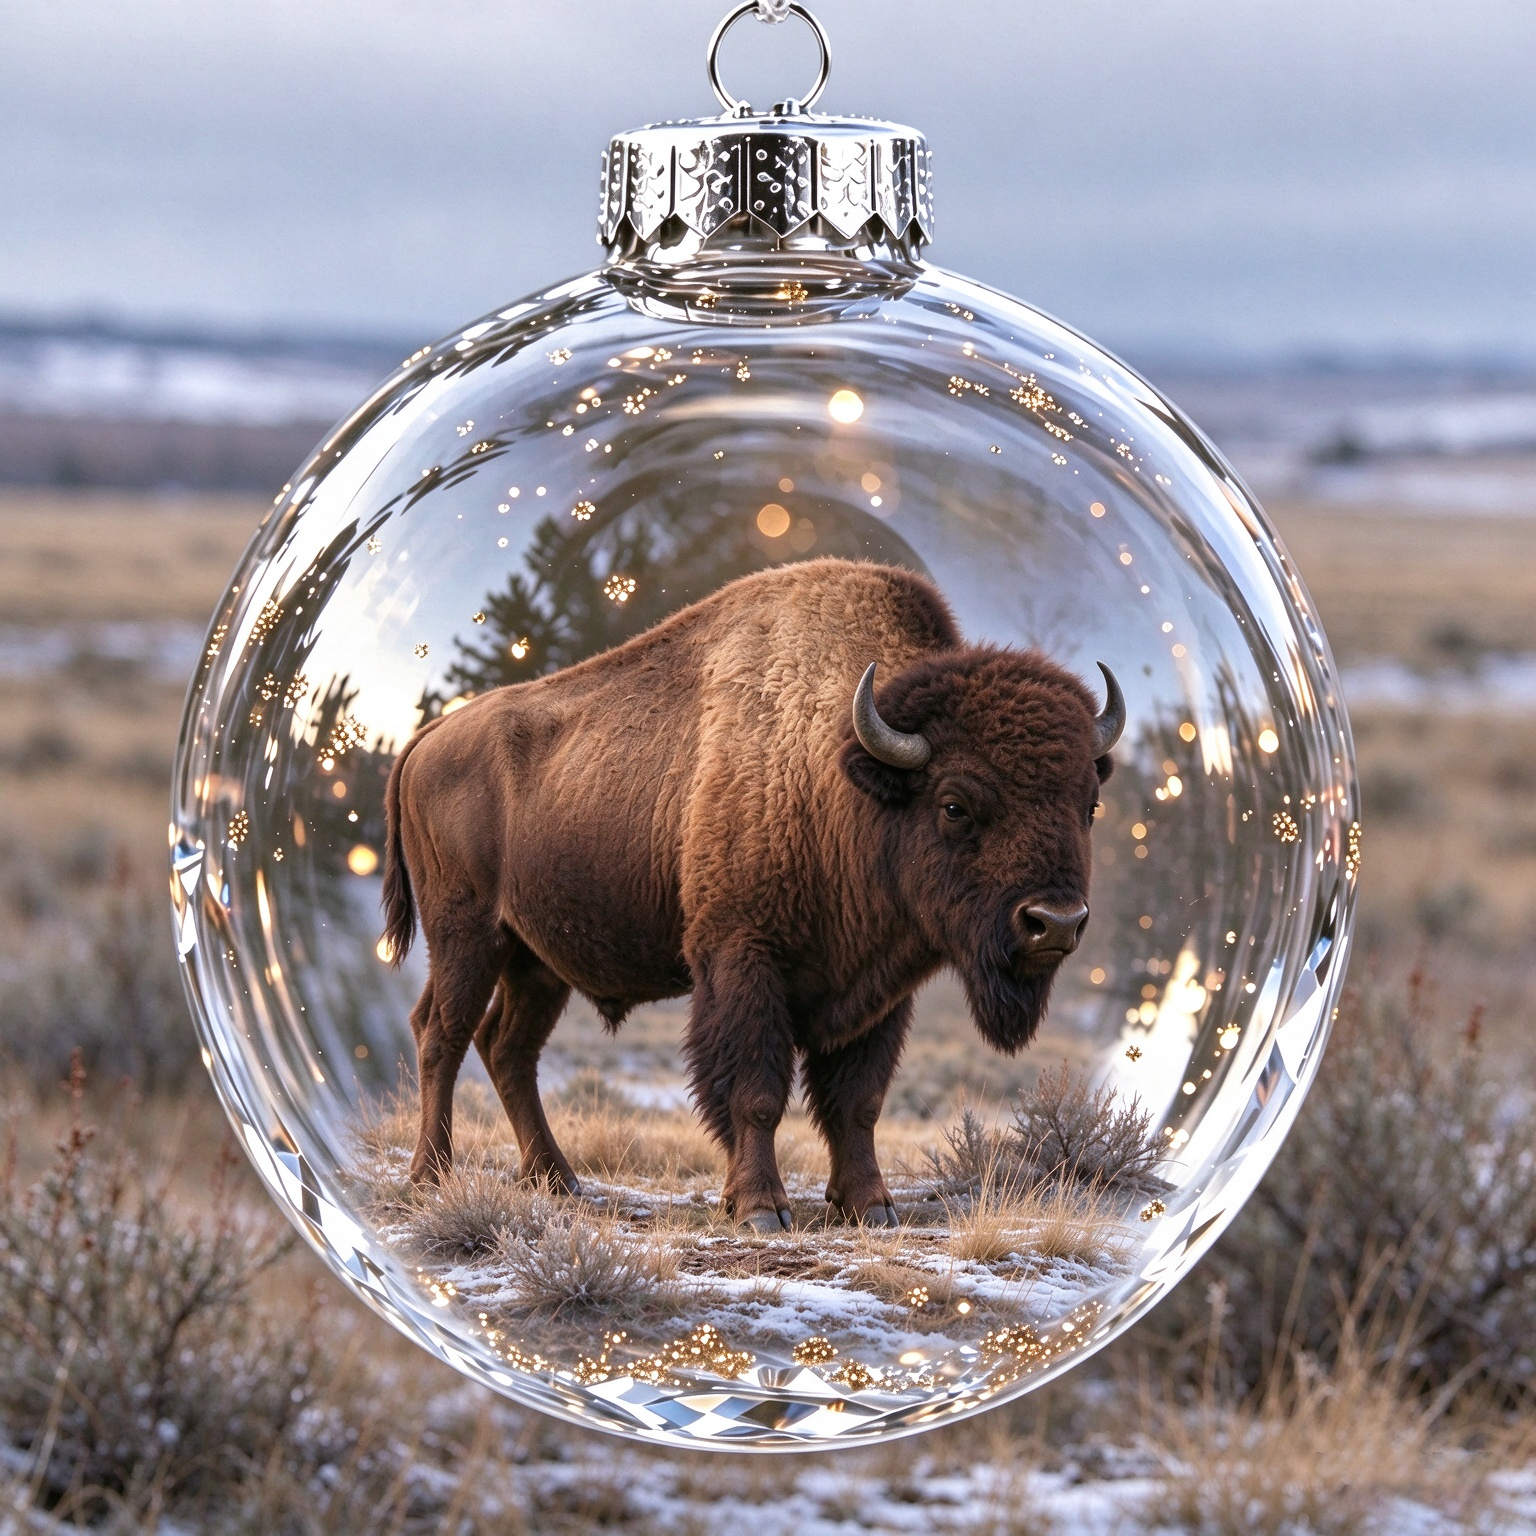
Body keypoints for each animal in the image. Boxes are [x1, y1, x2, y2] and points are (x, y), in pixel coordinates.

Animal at [382, 557, 1123, 1231]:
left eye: (1089, 804)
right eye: (954, 805)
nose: (1055, 922)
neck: (841, 773)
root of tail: (427, 738)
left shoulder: (880, 991)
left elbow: (857, 1101)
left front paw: (871, 1207)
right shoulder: (743, 961)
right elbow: (757, 1093)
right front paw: (761, 1209)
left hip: (537, 960)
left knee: (507, 1048)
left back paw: (557, 1179)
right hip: (467, 936)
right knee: (442, 1034)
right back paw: (432, 1176)